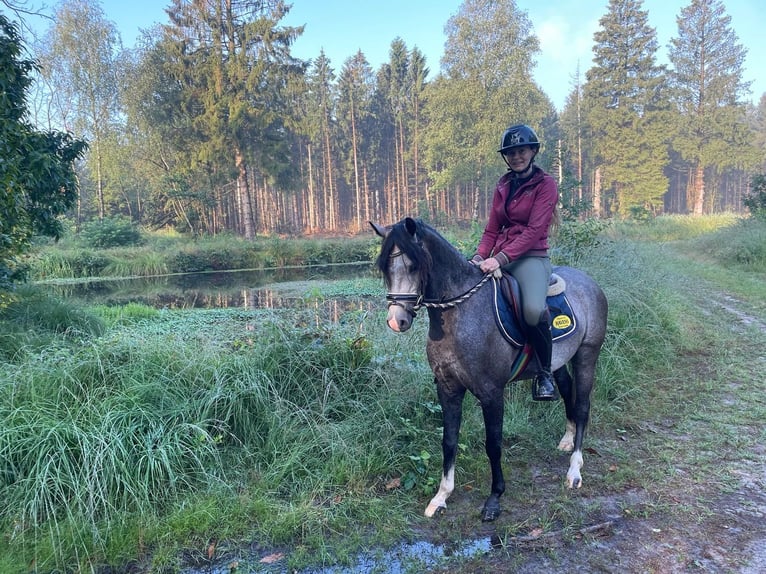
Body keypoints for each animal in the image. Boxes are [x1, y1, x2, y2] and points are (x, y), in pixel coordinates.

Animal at [368, 218, 608, 524]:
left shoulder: (492, 393)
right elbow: (449, 440)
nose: (396, 321)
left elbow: (493, 444)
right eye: (386, 268)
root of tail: (589, 282)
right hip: (558, 361)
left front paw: (494, 498)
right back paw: (567, 438)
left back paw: (574, 470)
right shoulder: (448, 388)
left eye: (413, 266)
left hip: (586, 356)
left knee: (582, 406)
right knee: (566, 389)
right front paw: (441, 497)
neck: (460, 312)